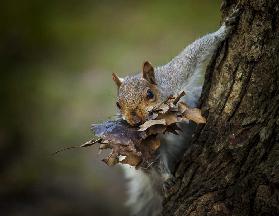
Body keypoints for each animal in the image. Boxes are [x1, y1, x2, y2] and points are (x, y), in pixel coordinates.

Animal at [110, 7, 240, 216]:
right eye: (117, 104)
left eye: (149, 94)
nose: (135, 121)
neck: (163, 120)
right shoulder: (148, 142)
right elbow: (155, 157)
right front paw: (166, 178)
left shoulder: (175, 75)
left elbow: (193, 53)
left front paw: (224, 30)